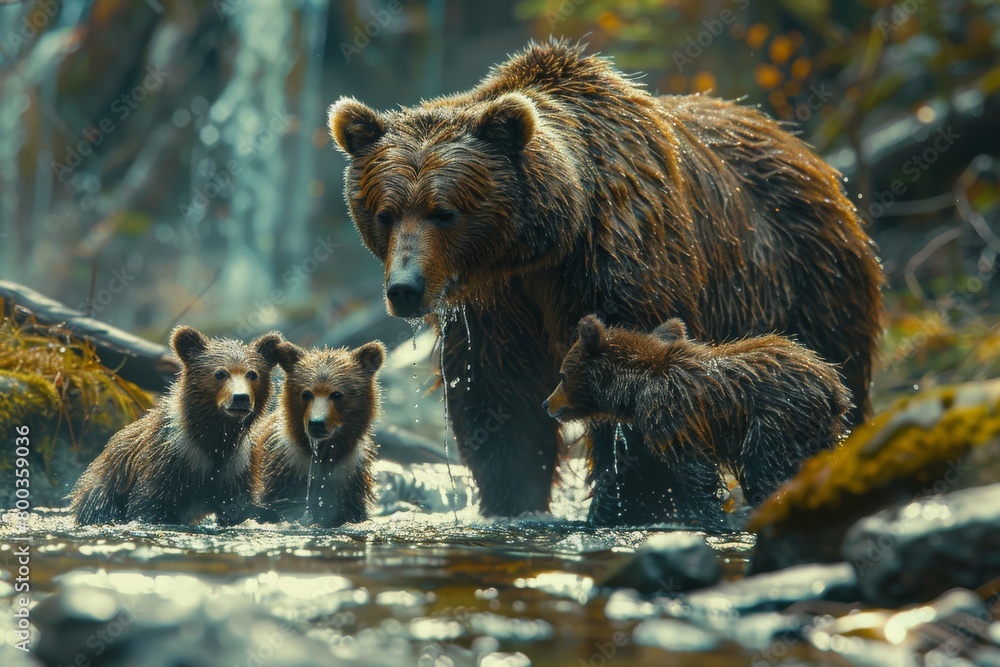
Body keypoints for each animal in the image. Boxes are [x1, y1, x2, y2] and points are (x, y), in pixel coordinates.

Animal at [70, 326, 282, 526]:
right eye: (220, 373)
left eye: (252, 374)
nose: (240, 398)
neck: (213, 435)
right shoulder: (168, 460)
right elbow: (149, 505)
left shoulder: (236, 465)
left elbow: (239, 506)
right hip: (105, 490)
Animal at [544, 315, 853, 526]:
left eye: (562, 375)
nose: (547, 403)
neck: (635, 388)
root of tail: (833, 384)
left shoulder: (674, 414)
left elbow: (695, 468)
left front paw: (710, 516)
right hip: (819, 427)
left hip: (779, 420)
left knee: (765, 470)